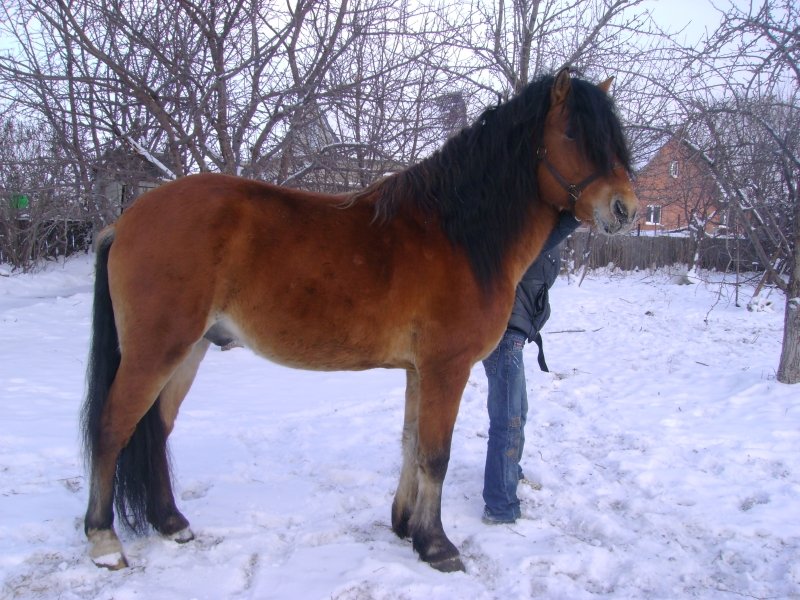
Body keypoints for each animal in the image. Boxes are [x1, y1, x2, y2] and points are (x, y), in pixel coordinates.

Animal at [80, 67, 638, 573]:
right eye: (572, 133)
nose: (626, 209)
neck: (458, 234)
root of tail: (126, 219)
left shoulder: (419, 371)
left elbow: (411, 444)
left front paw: (406, 527)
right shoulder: (447, 368)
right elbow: (435, 454)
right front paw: (438, 546)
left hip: (189, 350)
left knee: (156, 427)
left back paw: (171, 522)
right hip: (157, 350)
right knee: (112, 426)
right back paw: (104, 542)